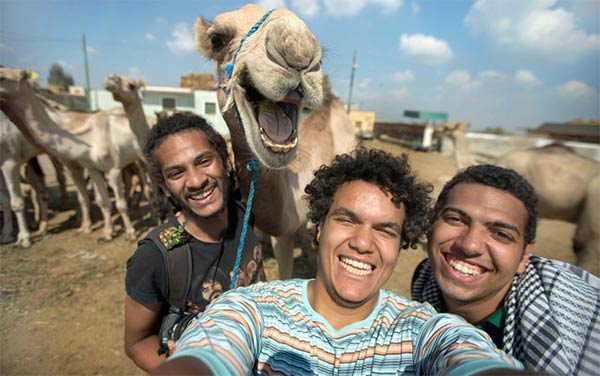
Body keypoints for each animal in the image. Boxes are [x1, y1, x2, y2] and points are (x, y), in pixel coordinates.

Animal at [0, 67, 142, 241]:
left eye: (2, 77)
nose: (110, 78)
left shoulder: (10, 161)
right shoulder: (86, 167)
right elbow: (96, 200)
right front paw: (101, 230)